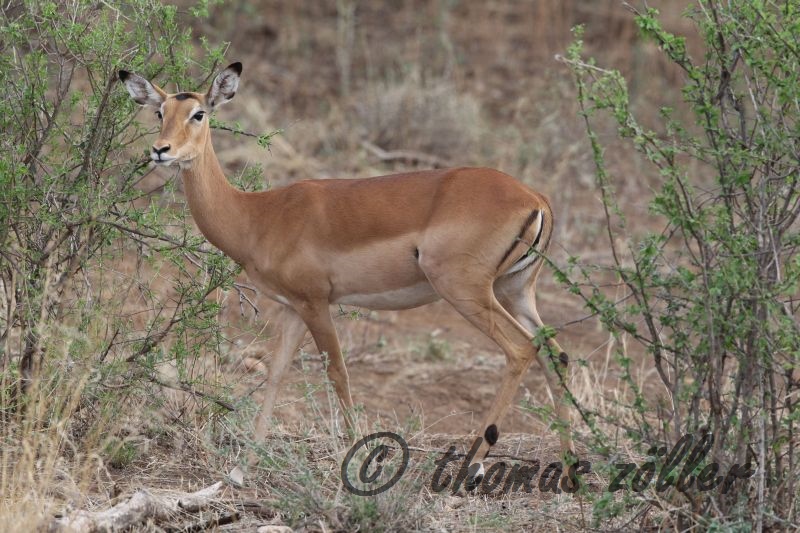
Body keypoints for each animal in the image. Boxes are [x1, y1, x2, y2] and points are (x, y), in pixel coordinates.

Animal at [119, 62, 574, 489]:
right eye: (159, 111)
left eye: (198, 113)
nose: (160, 150)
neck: (258, 216)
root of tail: (535, 198)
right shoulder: (292, 308)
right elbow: (276, 374)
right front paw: (238, 472)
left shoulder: (316, 303)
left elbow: (338, 373)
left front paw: (362, 465)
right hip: (514, 289)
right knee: (555, 352)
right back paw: (569, 470)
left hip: (466, 290)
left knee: (521, 348)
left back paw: (475, 468)